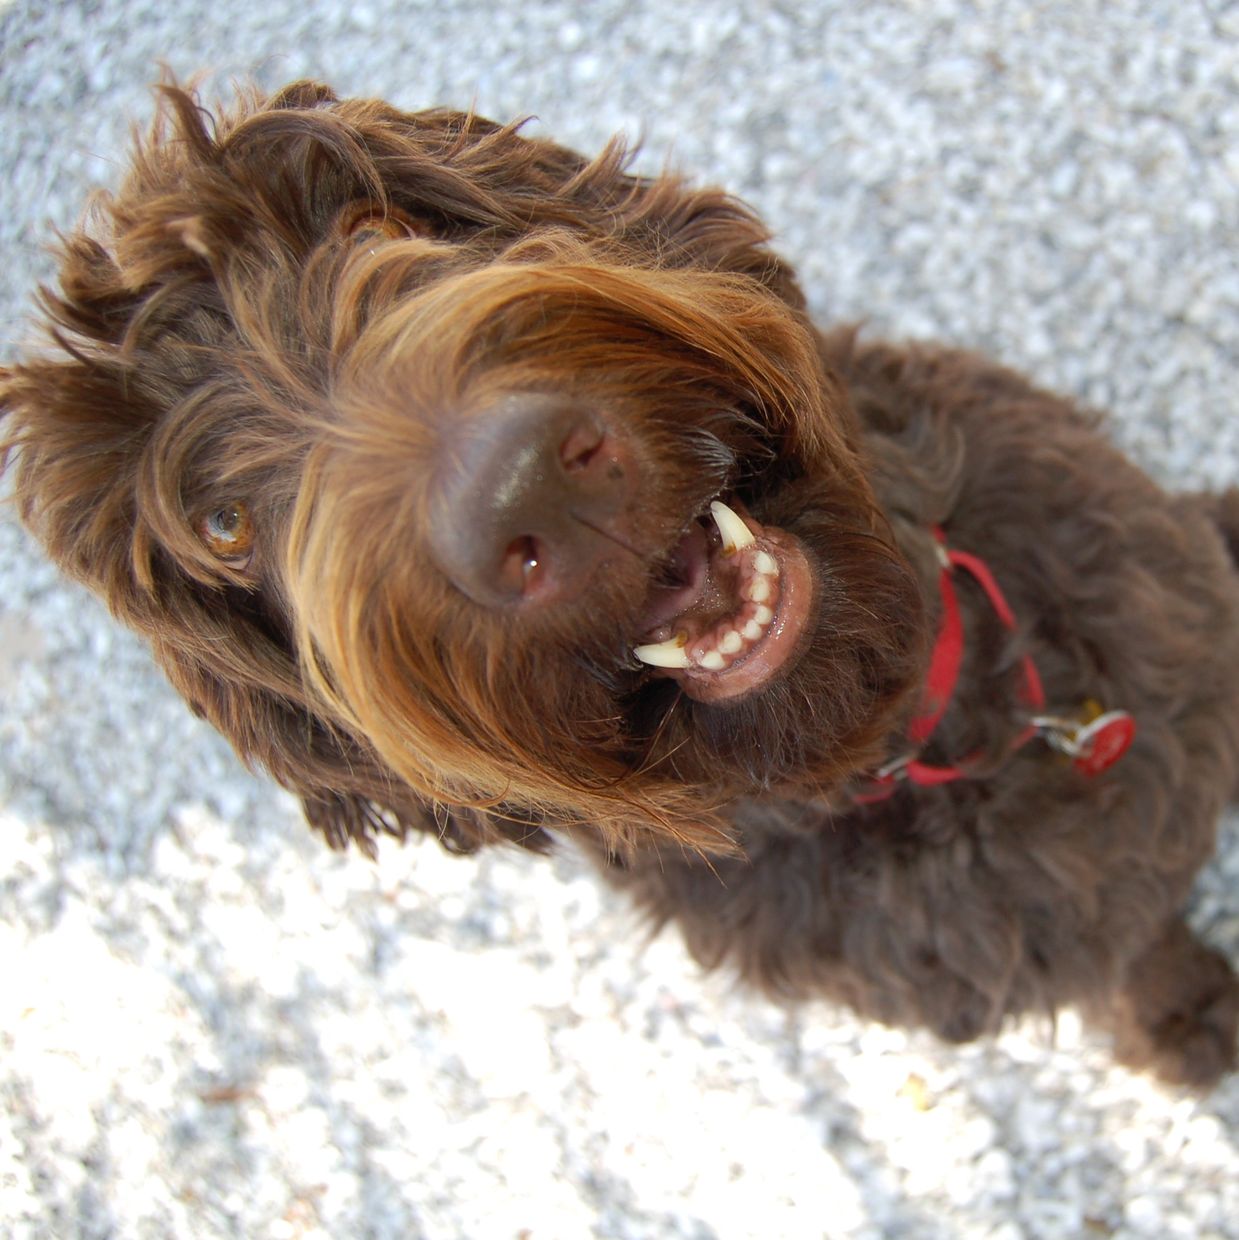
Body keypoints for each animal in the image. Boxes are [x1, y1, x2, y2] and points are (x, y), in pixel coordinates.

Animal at [4, 79, 1238, 1089]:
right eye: (220, 528)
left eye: (372, 225)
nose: (522, 489)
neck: (920, 751)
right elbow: (1125, 955)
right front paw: (1184, 1017)